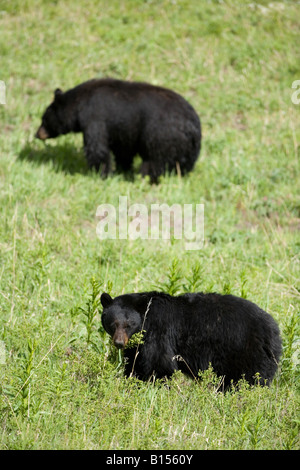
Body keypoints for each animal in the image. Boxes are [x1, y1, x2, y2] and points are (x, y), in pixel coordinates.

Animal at [35, 78, 202, 183]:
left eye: (44, 119)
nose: (37, 134)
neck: (79, 104)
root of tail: (192, 127)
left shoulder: (95, 118)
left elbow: (97, 148)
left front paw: (101, 173)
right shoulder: (124, 129)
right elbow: (123, 150)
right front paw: (122, 169)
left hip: (161, 136)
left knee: (155, 161)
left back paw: (145, 178)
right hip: (187, 148)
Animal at [101, 290, 282, 390]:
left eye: (128, 324)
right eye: (112, 324)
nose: (119, 343)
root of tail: (274, 330)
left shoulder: (159, 331)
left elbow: (159, 364)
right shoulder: (138, 344)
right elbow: (134, 362)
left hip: (245, 351)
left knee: (249, 379)